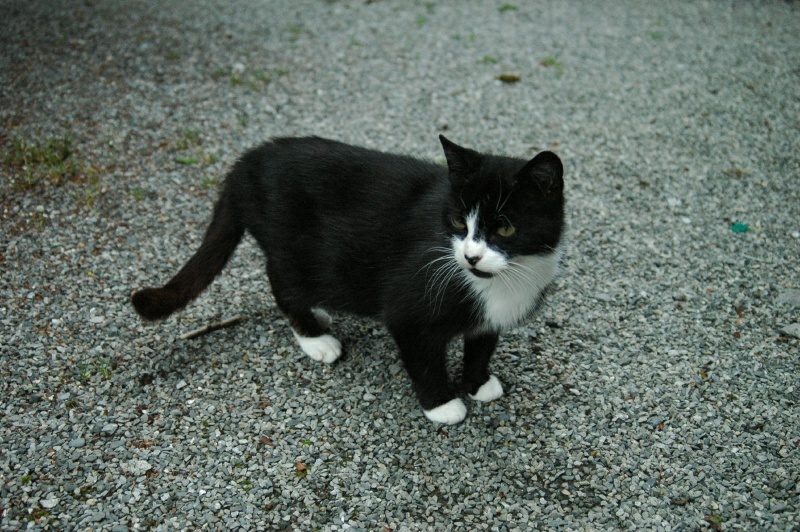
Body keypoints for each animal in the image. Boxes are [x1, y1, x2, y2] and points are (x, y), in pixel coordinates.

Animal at [131, 135, 564, 426]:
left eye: (505, 228)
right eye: (459, 221)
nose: (470, 256)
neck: (506, 277)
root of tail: (244, 163)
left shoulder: (490, 315)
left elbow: (482, 345)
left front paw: (478, 384)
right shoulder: (410, 305)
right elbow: (422, 357)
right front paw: (443, 405)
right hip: (292, 246)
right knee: (282, 281)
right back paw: (314, 337)